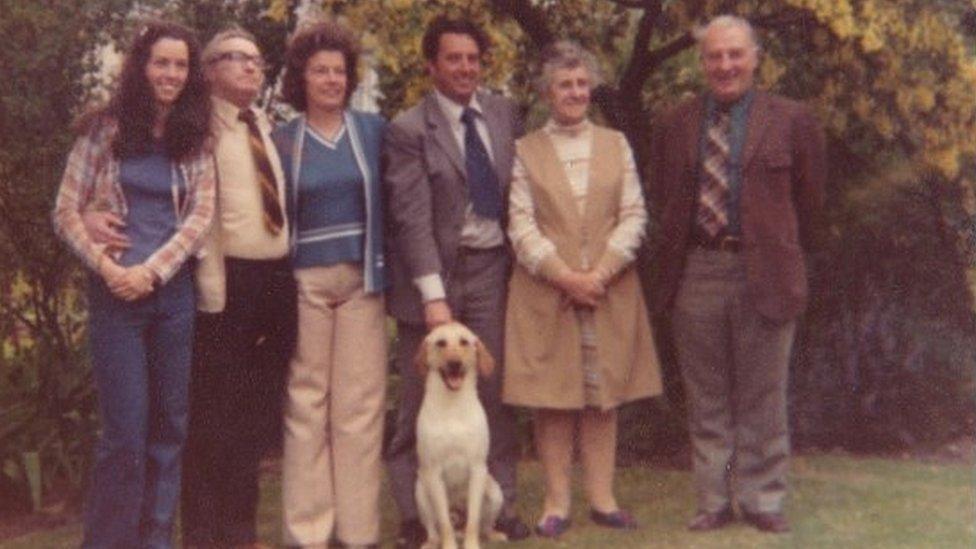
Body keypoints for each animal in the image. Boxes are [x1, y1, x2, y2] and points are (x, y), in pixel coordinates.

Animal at [412, 322, 504, 548]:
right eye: (440, 343)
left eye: (464, 342)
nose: (455, 363)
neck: (452, 405)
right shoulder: (434, 472)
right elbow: (444, 522)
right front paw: (449, 545)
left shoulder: (477, 468)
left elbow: (473, 519)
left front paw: (471, 545)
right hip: (420, 491)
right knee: (434, 528)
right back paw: (431, 542)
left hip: (495, 492)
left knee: (484, 526)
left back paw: (494, 535)